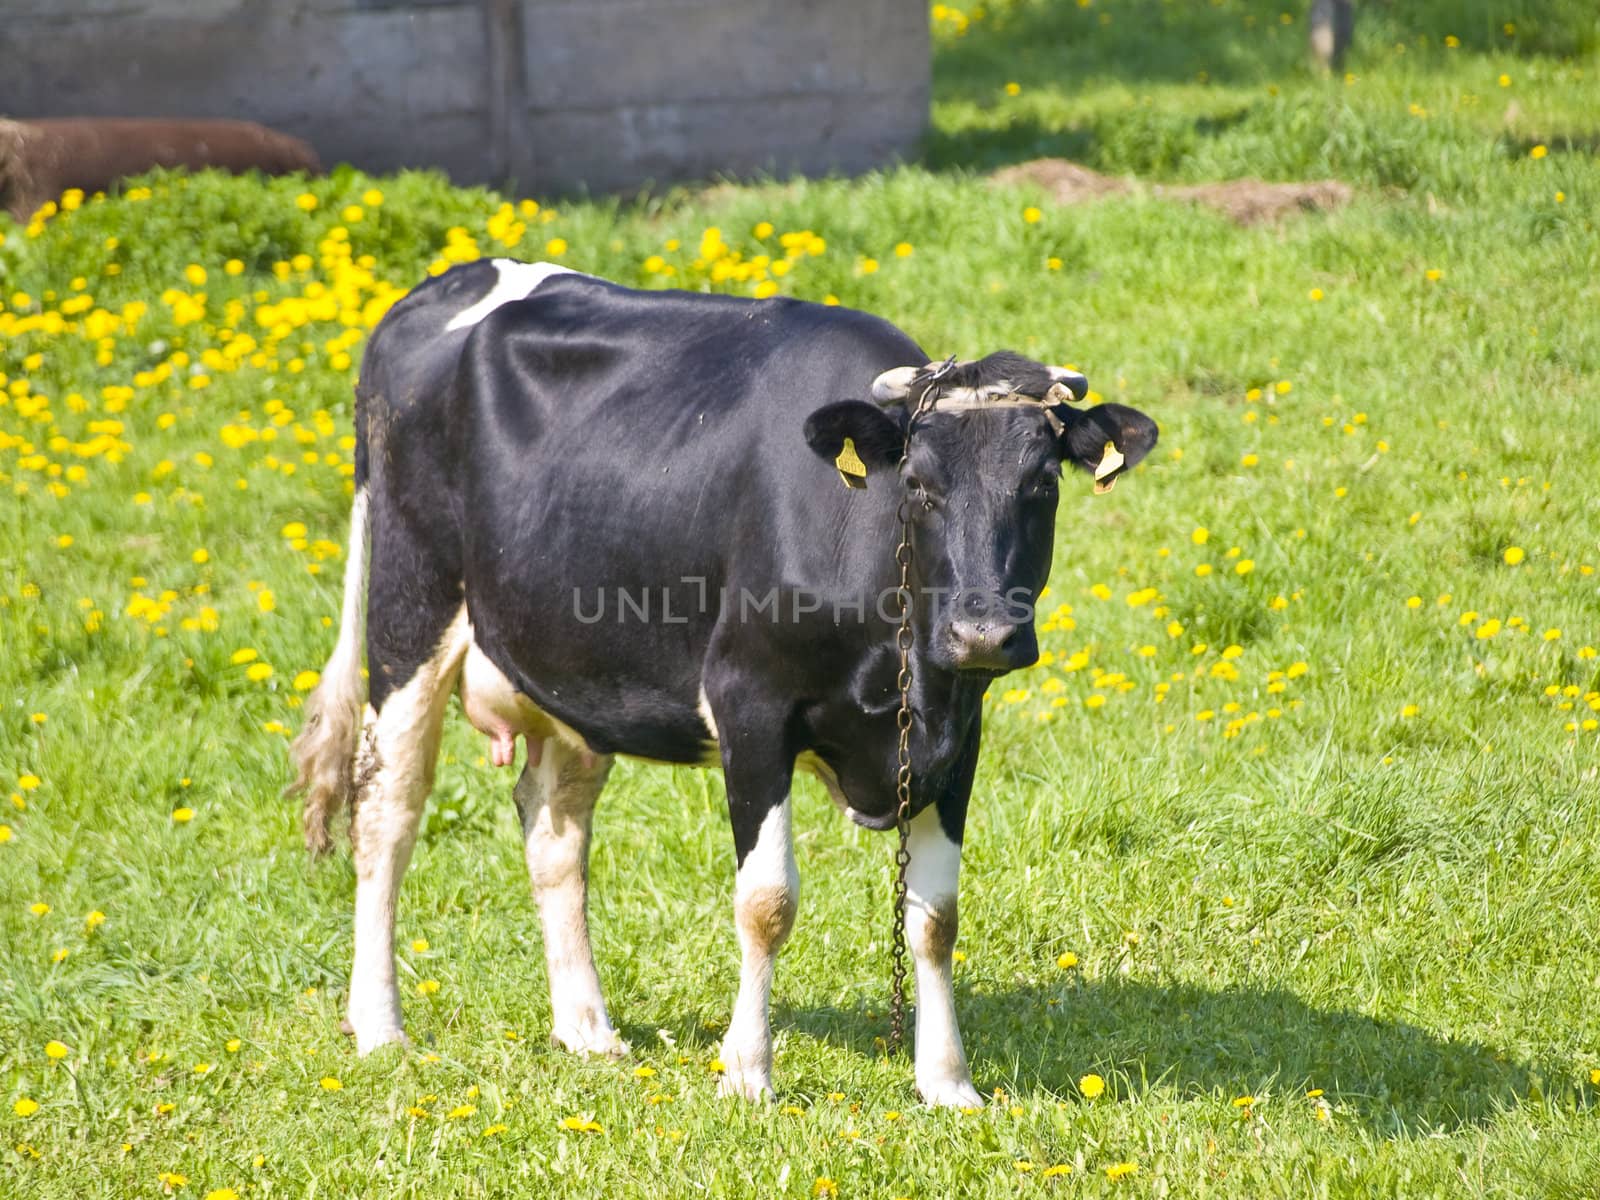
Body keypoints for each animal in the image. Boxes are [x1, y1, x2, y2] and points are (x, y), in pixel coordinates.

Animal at [291, 260, 1152, 1107]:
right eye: (918, 484)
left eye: (1043, 485)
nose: (984, 633)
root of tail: (446, 282)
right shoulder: (750, 707)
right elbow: (766, 904)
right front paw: (746, 1073)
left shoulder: (956, 730)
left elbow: (934, 917)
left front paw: (947, 1083)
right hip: (409, 609)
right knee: (387, 811)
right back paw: (379, 1025)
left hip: (574, 664)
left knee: (554, 834)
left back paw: (587, 1029)